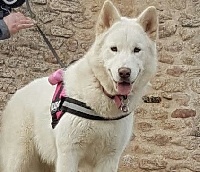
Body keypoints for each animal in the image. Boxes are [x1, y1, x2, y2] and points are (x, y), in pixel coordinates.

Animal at [0, 0, 158, 171]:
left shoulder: (109, 158)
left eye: (137, 50)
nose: (124, 72)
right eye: (114, 49)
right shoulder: (69, 153)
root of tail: (17, 94)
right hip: (19, 159)